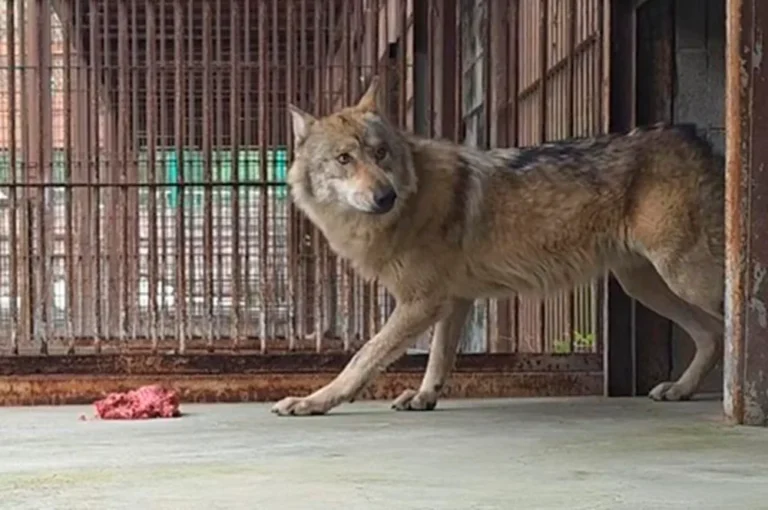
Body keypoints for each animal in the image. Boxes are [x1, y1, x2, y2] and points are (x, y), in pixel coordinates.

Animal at [271, 76, 724, 416]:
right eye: (344, 159)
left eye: (380, 153)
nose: (386, 196)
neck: (412, 200)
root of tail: (694, 138)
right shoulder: (453, 300)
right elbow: (438, 357)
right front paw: (424, 397)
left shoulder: (421, 302)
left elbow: (363, 356)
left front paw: (314, 401)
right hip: (646, 286)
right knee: (712, 335)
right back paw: (681, 389)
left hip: (685, 278)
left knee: (730, 320)